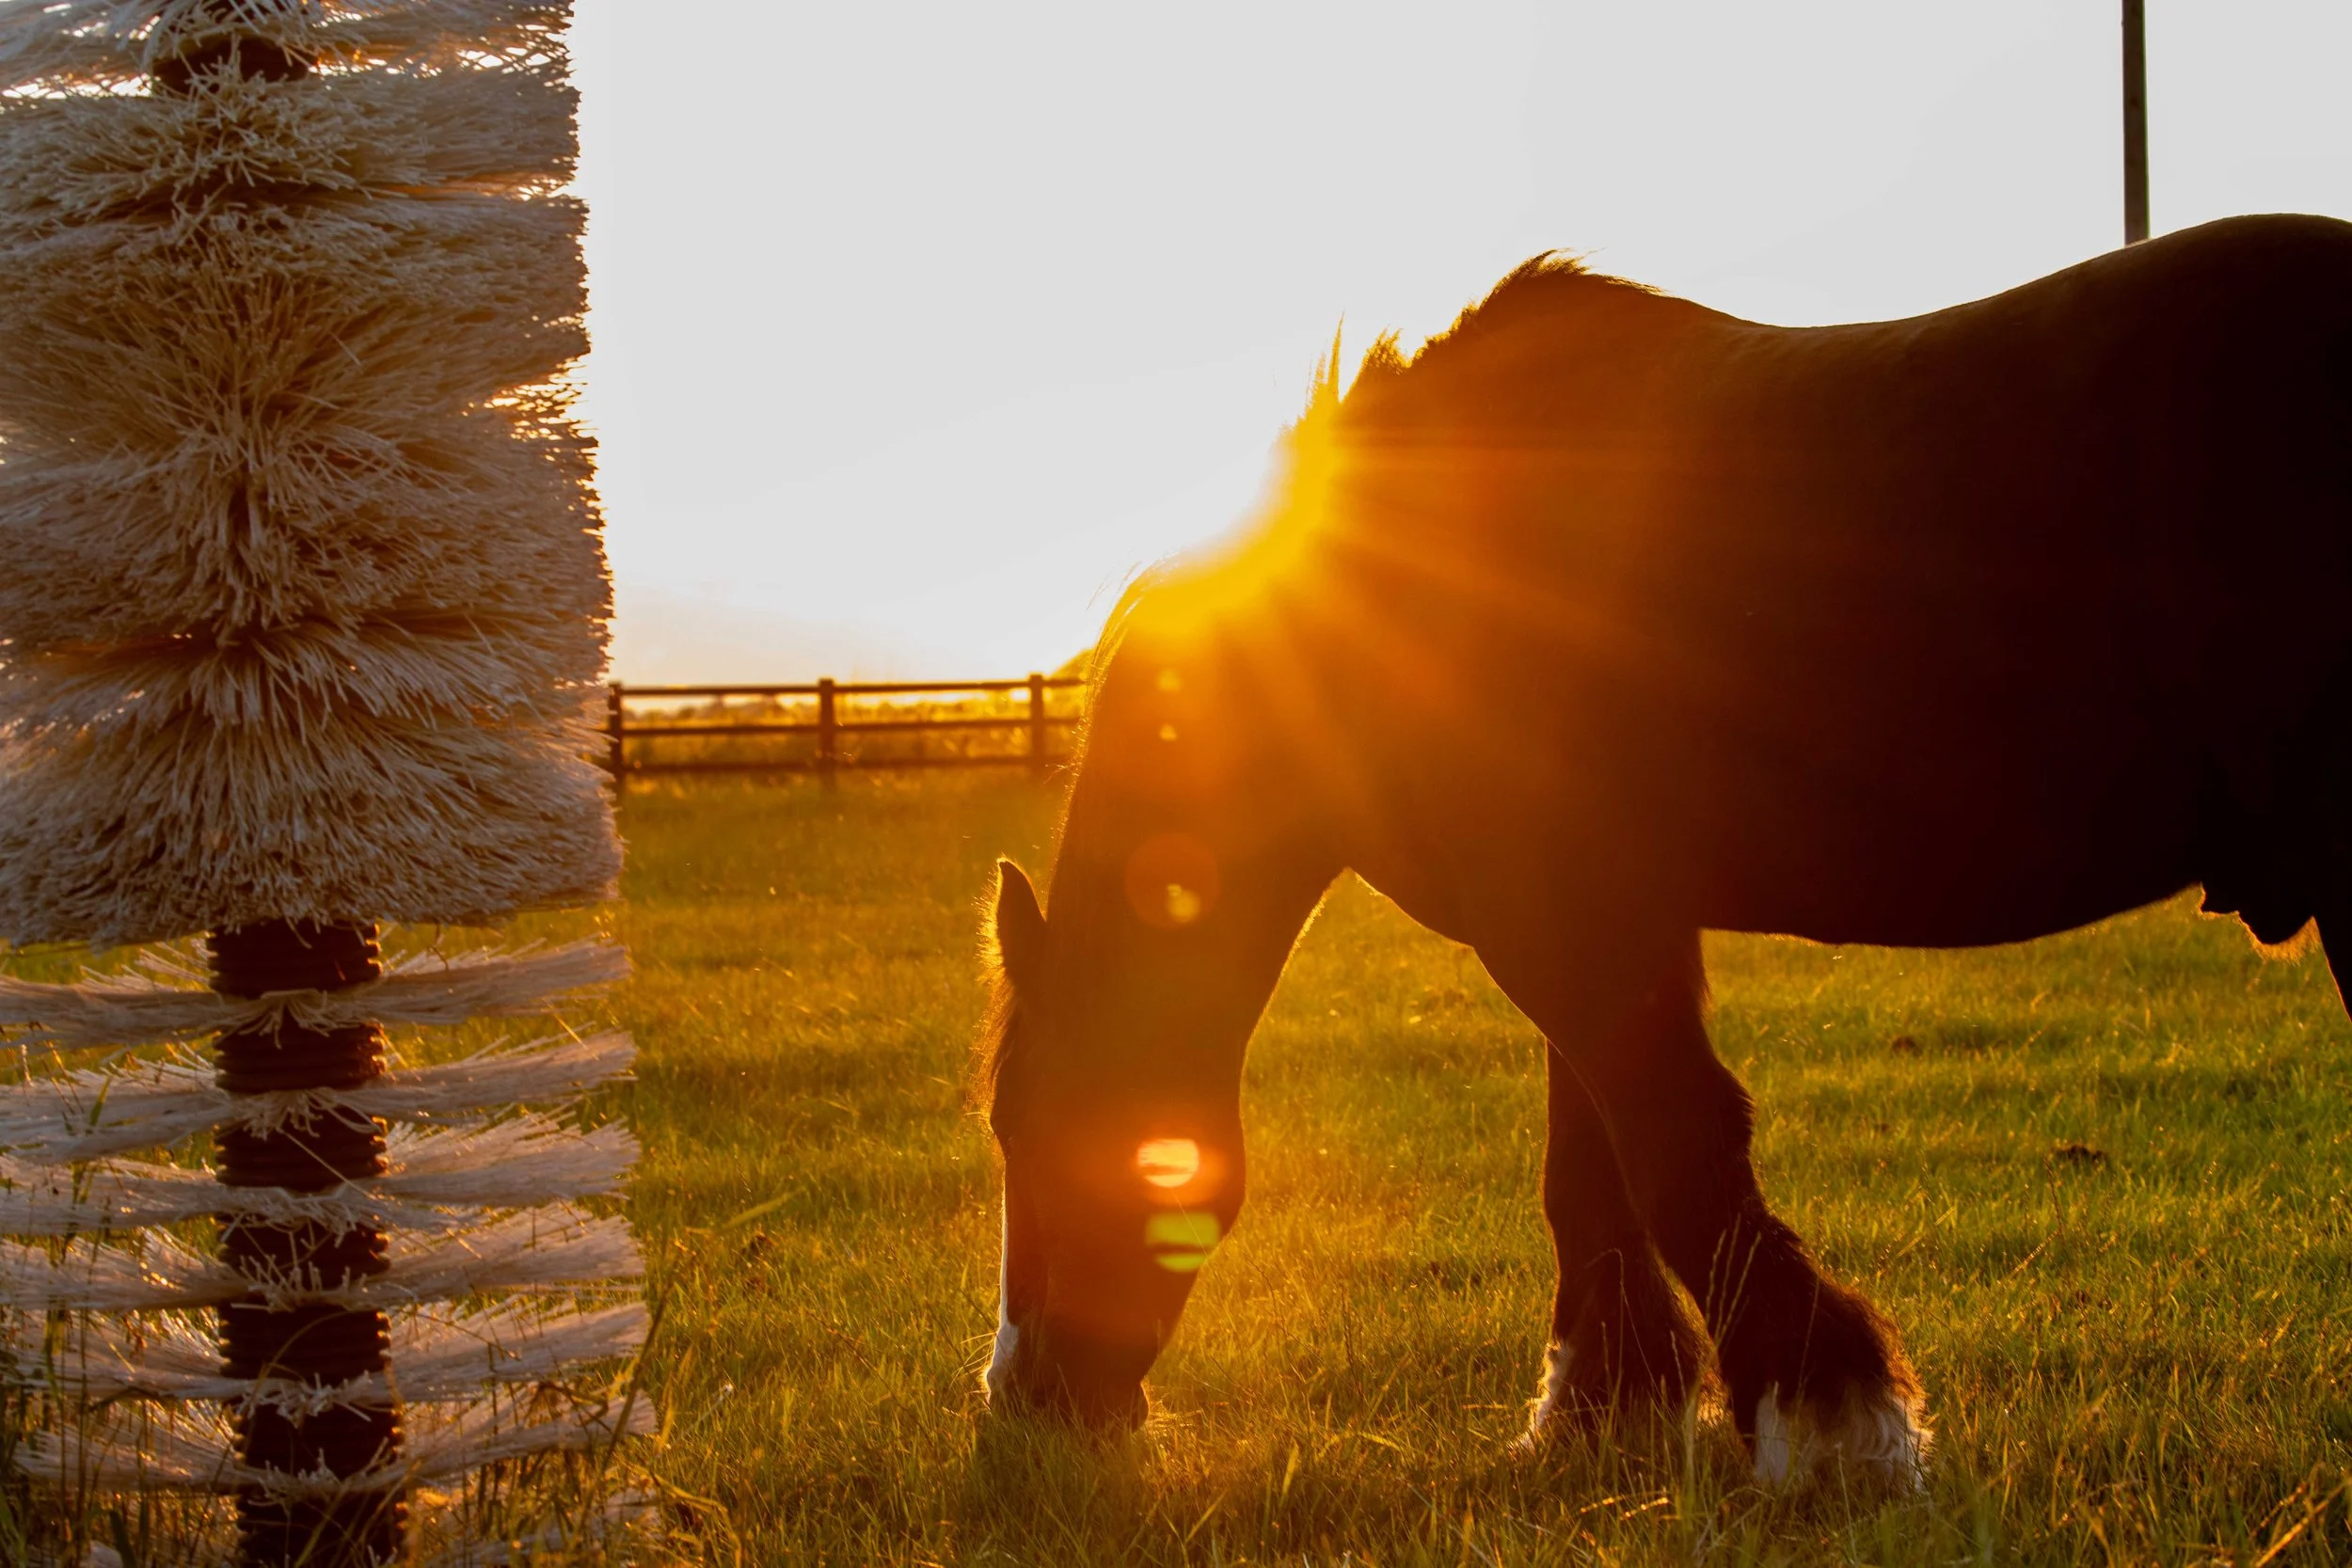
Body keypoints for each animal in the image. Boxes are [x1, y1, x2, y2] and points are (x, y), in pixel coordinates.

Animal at [977, 213, 2352, 1487]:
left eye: (1026, 1125)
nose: (1028, 1403)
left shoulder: (1571, 927)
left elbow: (1679, 1151)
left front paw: (1828, 1424)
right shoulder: (1596, 919)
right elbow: (1590, 1174)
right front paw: (1603, 1404)